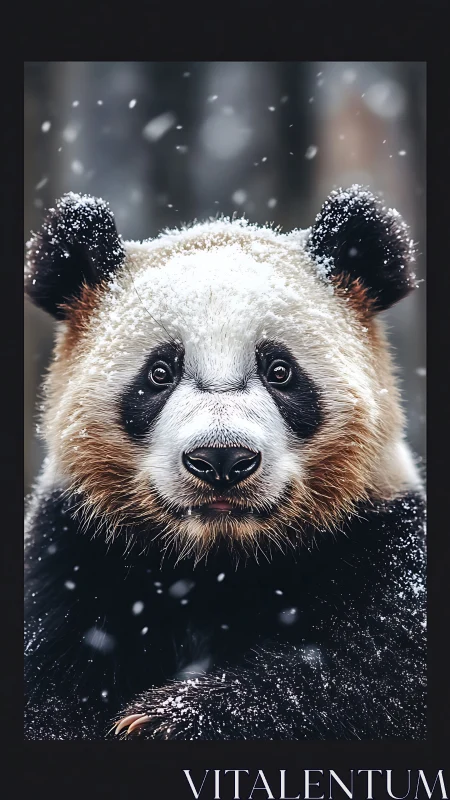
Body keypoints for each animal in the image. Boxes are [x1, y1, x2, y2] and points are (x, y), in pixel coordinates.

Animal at [24, 186, 426, 740]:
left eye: (280, 370)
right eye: (160, 372)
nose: (221, 459)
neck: (218, 563)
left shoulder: (384, 540)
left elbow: (370, 675)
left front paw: (164, 720)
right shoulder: (72, 554)